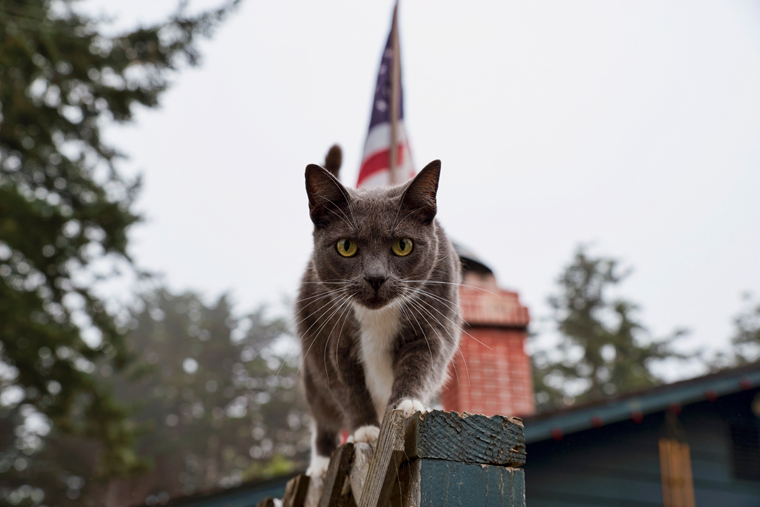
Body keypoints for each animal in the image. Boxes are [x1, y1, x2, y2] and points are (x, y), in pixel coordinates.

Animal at [296, 149, 464, 478]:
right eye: (346, 246)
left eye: (403, 245)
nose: (376, 277)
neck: (377, 316)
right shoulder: (330, 337)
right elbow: (345, 382)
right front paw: (366, 430)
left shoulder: (434, 322)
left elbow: (421, 361)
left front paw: (407, 405)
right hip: (310, 361)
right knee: (321, 413)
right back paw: (320, 463)